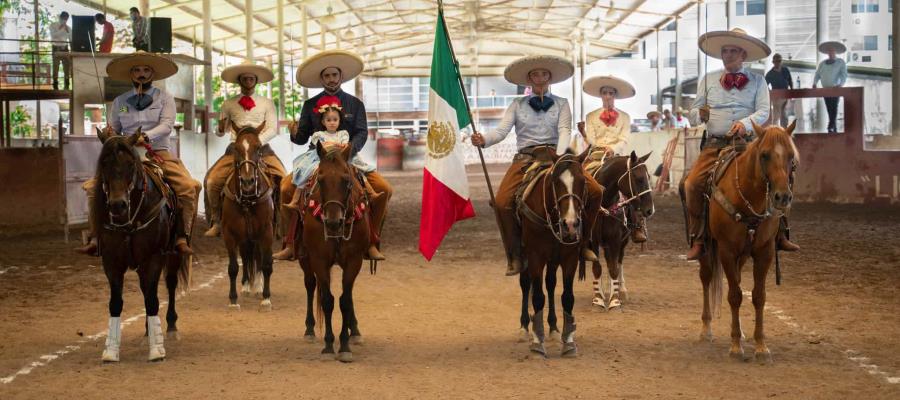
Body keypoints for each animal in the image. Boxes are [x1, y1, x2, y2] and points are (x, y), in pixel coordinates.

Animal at [92, 128, 190, 362]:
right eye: (104, 163)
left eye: (130, 164)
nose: (117, 204)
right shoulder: (111, 262)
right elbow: (116, 303)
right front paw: (111, 350)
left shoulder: (153, 258)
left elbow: (153, 300)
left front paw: (157, 350)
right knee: (145, 290)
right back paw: (147, 331)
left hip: (173, 255)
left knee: (169, 284)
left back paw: (171, 327)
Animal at [221, 122, 274, 312]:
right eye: (236, 148)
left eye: (258, 147)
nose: (247, 181)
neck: (248, 199)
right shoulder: (229, 234)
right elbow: (233, 267)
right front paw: (233, 300)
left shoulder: (266, 232)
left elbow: (266, 264)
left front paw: (266, 299)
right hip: (245, 238)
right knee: (245, 257)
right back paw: (245, 286)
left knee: (257, 257)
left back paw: (257, 287)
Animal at [512, 148, 592, 358]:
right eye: (555, 182)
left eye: (583, 181)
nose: (570, 224)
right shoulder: (535, 256)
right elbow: (537, 297)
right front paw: (537, 343)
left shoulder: (569, 257)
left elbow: (567, 297)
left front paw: (568, 342)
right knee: (526, 284)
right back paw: (524, 327)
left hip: (553, 259)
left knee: (550, 284)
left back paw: (554, 328)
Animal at [584, 150, 652, 310]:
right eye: (639, 178)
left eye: (649, 177)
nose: (650, 209)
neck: (604, 201)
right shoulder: (593, 240)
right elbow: (597, 268)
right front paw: (598, 299)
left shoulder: (615, 239)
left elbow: (614, 268)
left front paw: (614, 300)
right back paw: (606, 291)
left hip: (622, 241)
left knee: (617, 262)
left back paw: (620, 290)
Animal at [692, 119, 800, 362]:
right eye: (765, 155)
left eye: (791, 156)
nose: (782, 197)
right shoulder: (726, 251)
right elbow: (734, 296)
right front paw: (735, 346)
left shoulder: (764, 252)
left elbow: (758, 296)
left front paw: (760, 345)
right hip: (708, 249)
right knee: (706, 278)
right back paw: (706, 329)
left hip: (742, 255)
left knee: (738, 280)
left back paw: (740, 331)